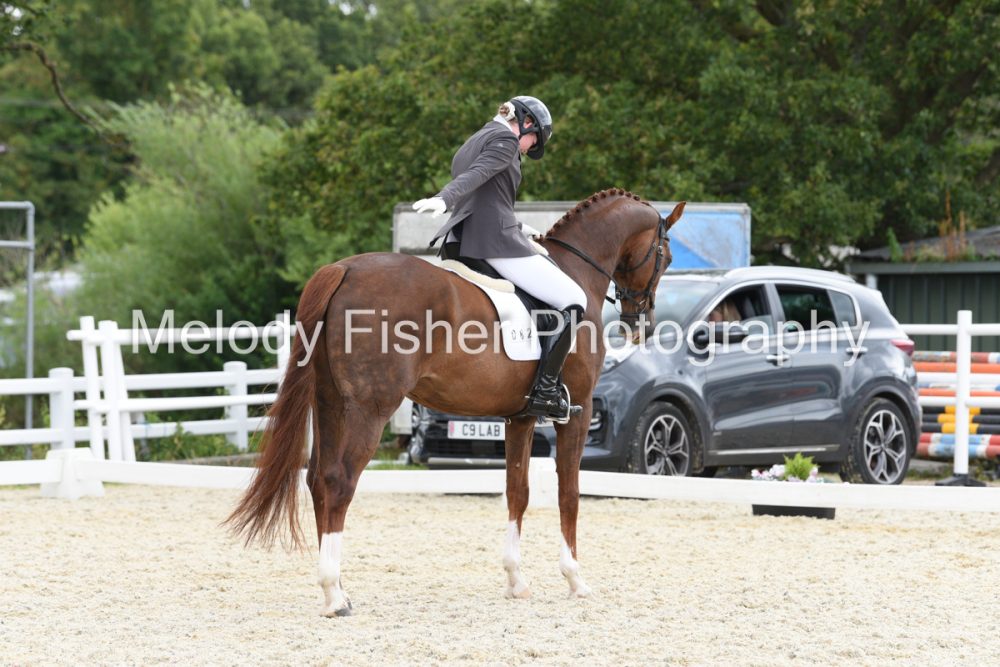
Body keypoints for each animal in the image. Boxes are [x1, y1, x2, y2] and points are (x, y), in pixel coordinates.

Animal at [226, 189, 685, 616]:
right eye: (665, 256)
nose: (640, 323)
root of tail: (344, 269)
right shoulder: (577, 412)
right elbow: (568, 492)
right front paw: (575, 579)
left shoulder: (520, 417)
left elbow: (517, 491)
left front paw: (516, 581)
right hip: (370, 409)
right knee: (339, 482)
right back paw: (334, 596)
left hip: (330, 404)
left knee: (318, 479)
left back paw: (336, 589)